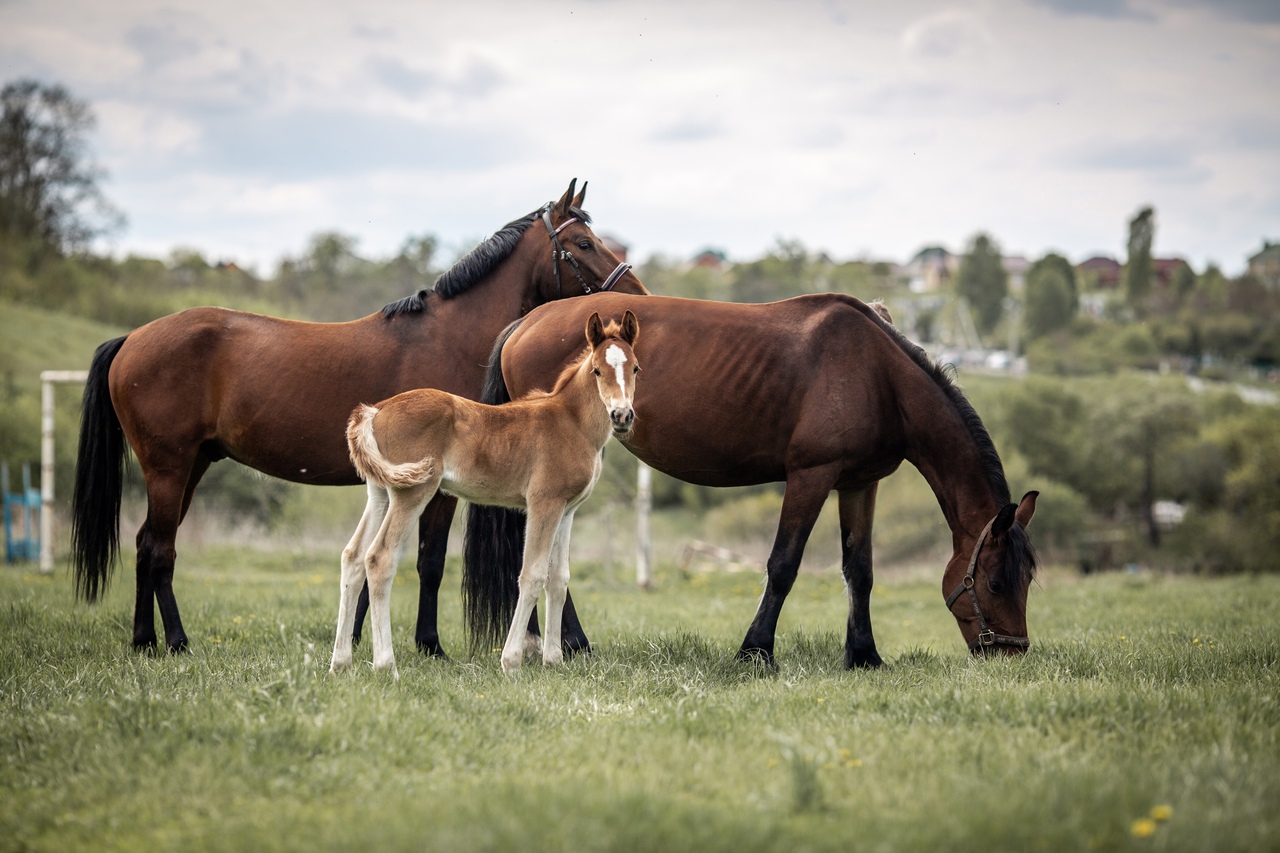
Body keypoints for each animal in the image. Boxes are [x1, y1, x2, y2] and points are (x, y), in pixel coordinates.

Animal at [325, 308, 634, 676]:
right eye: (598, 369)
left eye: (635, 368)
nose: (622, 415)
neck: (570, 422)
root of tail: (376, 410)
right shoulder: (544, 503)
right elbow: (532, 575)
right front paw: (512, 662)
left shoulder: (567, 509)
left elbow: (559, 578)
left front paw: (554, 661)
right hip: (412, 492)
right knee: (379, 559)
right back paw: (387, 666)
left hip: (381, 493)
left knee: (353, 557)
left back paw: (340, 663)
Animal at [463, 292, 1039, 666]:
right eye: (993, 582)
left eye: (1028, 579)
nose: (1011, 654)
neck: (876, 372)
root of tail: (524, 323)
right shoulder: (810, 477)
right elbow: (783, 566)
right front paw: (756, 651)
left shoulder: (859, 484)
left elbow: (860, 571)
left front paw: (864, 655)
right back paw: (566, 645)